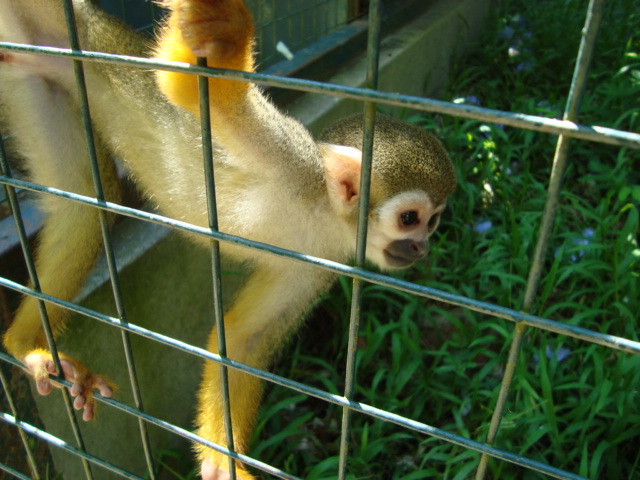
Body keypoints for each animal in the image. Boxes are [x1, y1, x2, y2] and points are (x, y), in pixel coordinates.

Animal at [2, 0, 458, 476]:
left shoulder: (319, 261)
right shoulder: (290, 159)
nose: (421, 247)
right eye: (409, 218)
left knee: (84, 199)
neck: (323, 212)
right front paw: (225, 36)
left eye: (433, 222)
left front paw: (222, 464)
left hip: (32, 74)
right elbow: (191, 89)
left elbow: (243, 339)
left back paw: (25, 346)